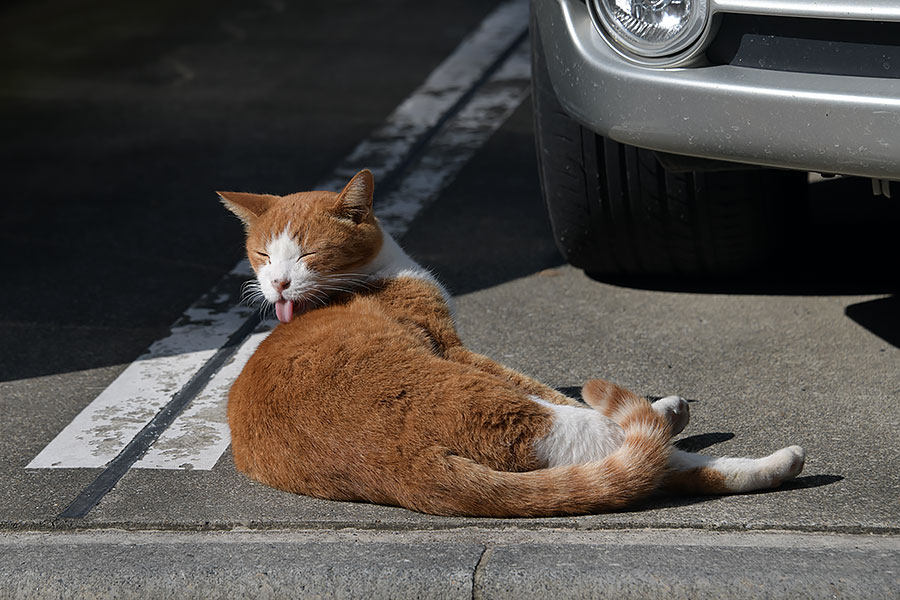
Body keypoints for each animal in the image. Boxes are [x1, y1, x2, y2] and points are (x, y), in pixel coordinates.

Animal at [220, 169, 808, 516]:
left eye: (307, 255)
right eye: (264, 255)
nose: (277, 284)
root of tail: (401, 469)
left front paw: (664, 406)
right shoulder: (453, 347)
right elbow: (548, 386)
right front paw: (663, 408)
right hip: (528, 419)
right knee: (657, 459)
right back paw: (774, 461)